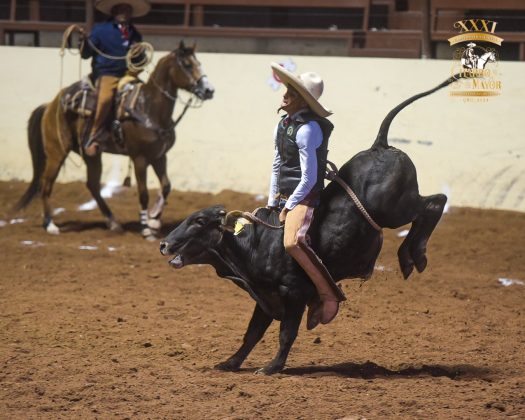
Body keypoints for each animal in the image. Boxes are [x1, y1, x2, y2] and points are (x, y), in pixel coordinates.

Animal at [12, 41, 213, 240]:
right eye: (187, 65)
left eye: (199, 62)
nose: (209, 90)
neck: (148, 108)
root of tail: (50, 105)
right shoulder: (139, 158)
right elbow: (143, 194)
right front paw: (146, 229)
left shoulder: (159, 156)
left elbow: (166, 186)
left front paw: (154, 220)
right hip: (57, 151)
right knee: (46, 184)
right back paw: (50, 225)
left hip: (91, 155)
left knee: (92, 185)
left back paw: (113, 223)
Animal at [159, 74, 458, 374]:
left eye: (199, 221)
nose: (163, 244)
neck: (256, 246)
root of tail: (380, 145)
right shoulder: (266, 296)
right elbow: (252, 332)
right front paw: (230, 362)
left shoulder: (294, 292)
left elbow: (286, 333)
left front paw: (272, 367)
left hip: (396, 209)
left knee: (435, 202)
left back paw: (413, 255)